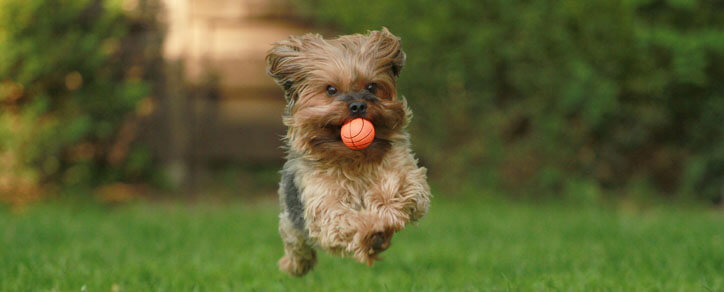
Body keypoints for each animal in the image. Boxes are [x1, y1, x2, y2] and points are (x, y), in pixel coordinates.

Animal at [268, 27, 432, 276]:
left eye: (371, 86)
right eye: (331, 90)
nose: (358, 105)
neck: (353, 158)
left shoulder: (407, 172)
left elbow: (399, 187)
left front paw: (383, 210)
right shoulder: (322, 201)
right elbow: (341, 218)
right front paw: (372, 231)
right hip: (292, 216)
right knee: (295, 241)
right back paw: (294, 265)